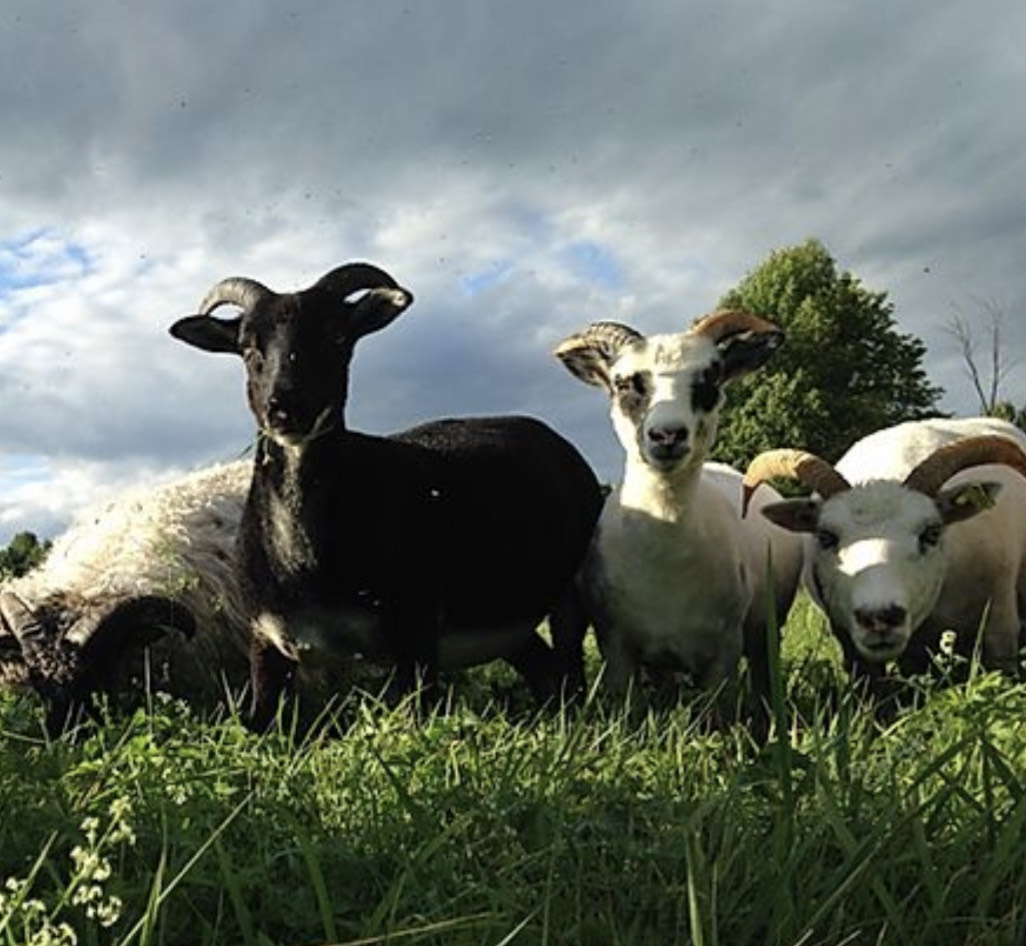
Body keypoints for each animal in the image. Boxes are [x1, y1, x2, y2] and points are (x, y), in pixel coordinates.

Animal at [169, 262, 605, 730]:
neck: (306, 565)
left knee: (571, 672)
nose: (285, 407)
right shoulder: (265, 642)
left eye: (337, 338)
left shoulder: (415, 630)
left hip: (569, 594)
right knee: (544, 669)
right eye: (249, 350)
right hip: (507, 618)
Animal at [553, 313, 803, 708]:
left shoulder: (723, 654)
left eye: (710, 379)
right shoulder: (616, 649)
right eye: (623, 382)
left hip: (766, 629)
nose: (667, 435)